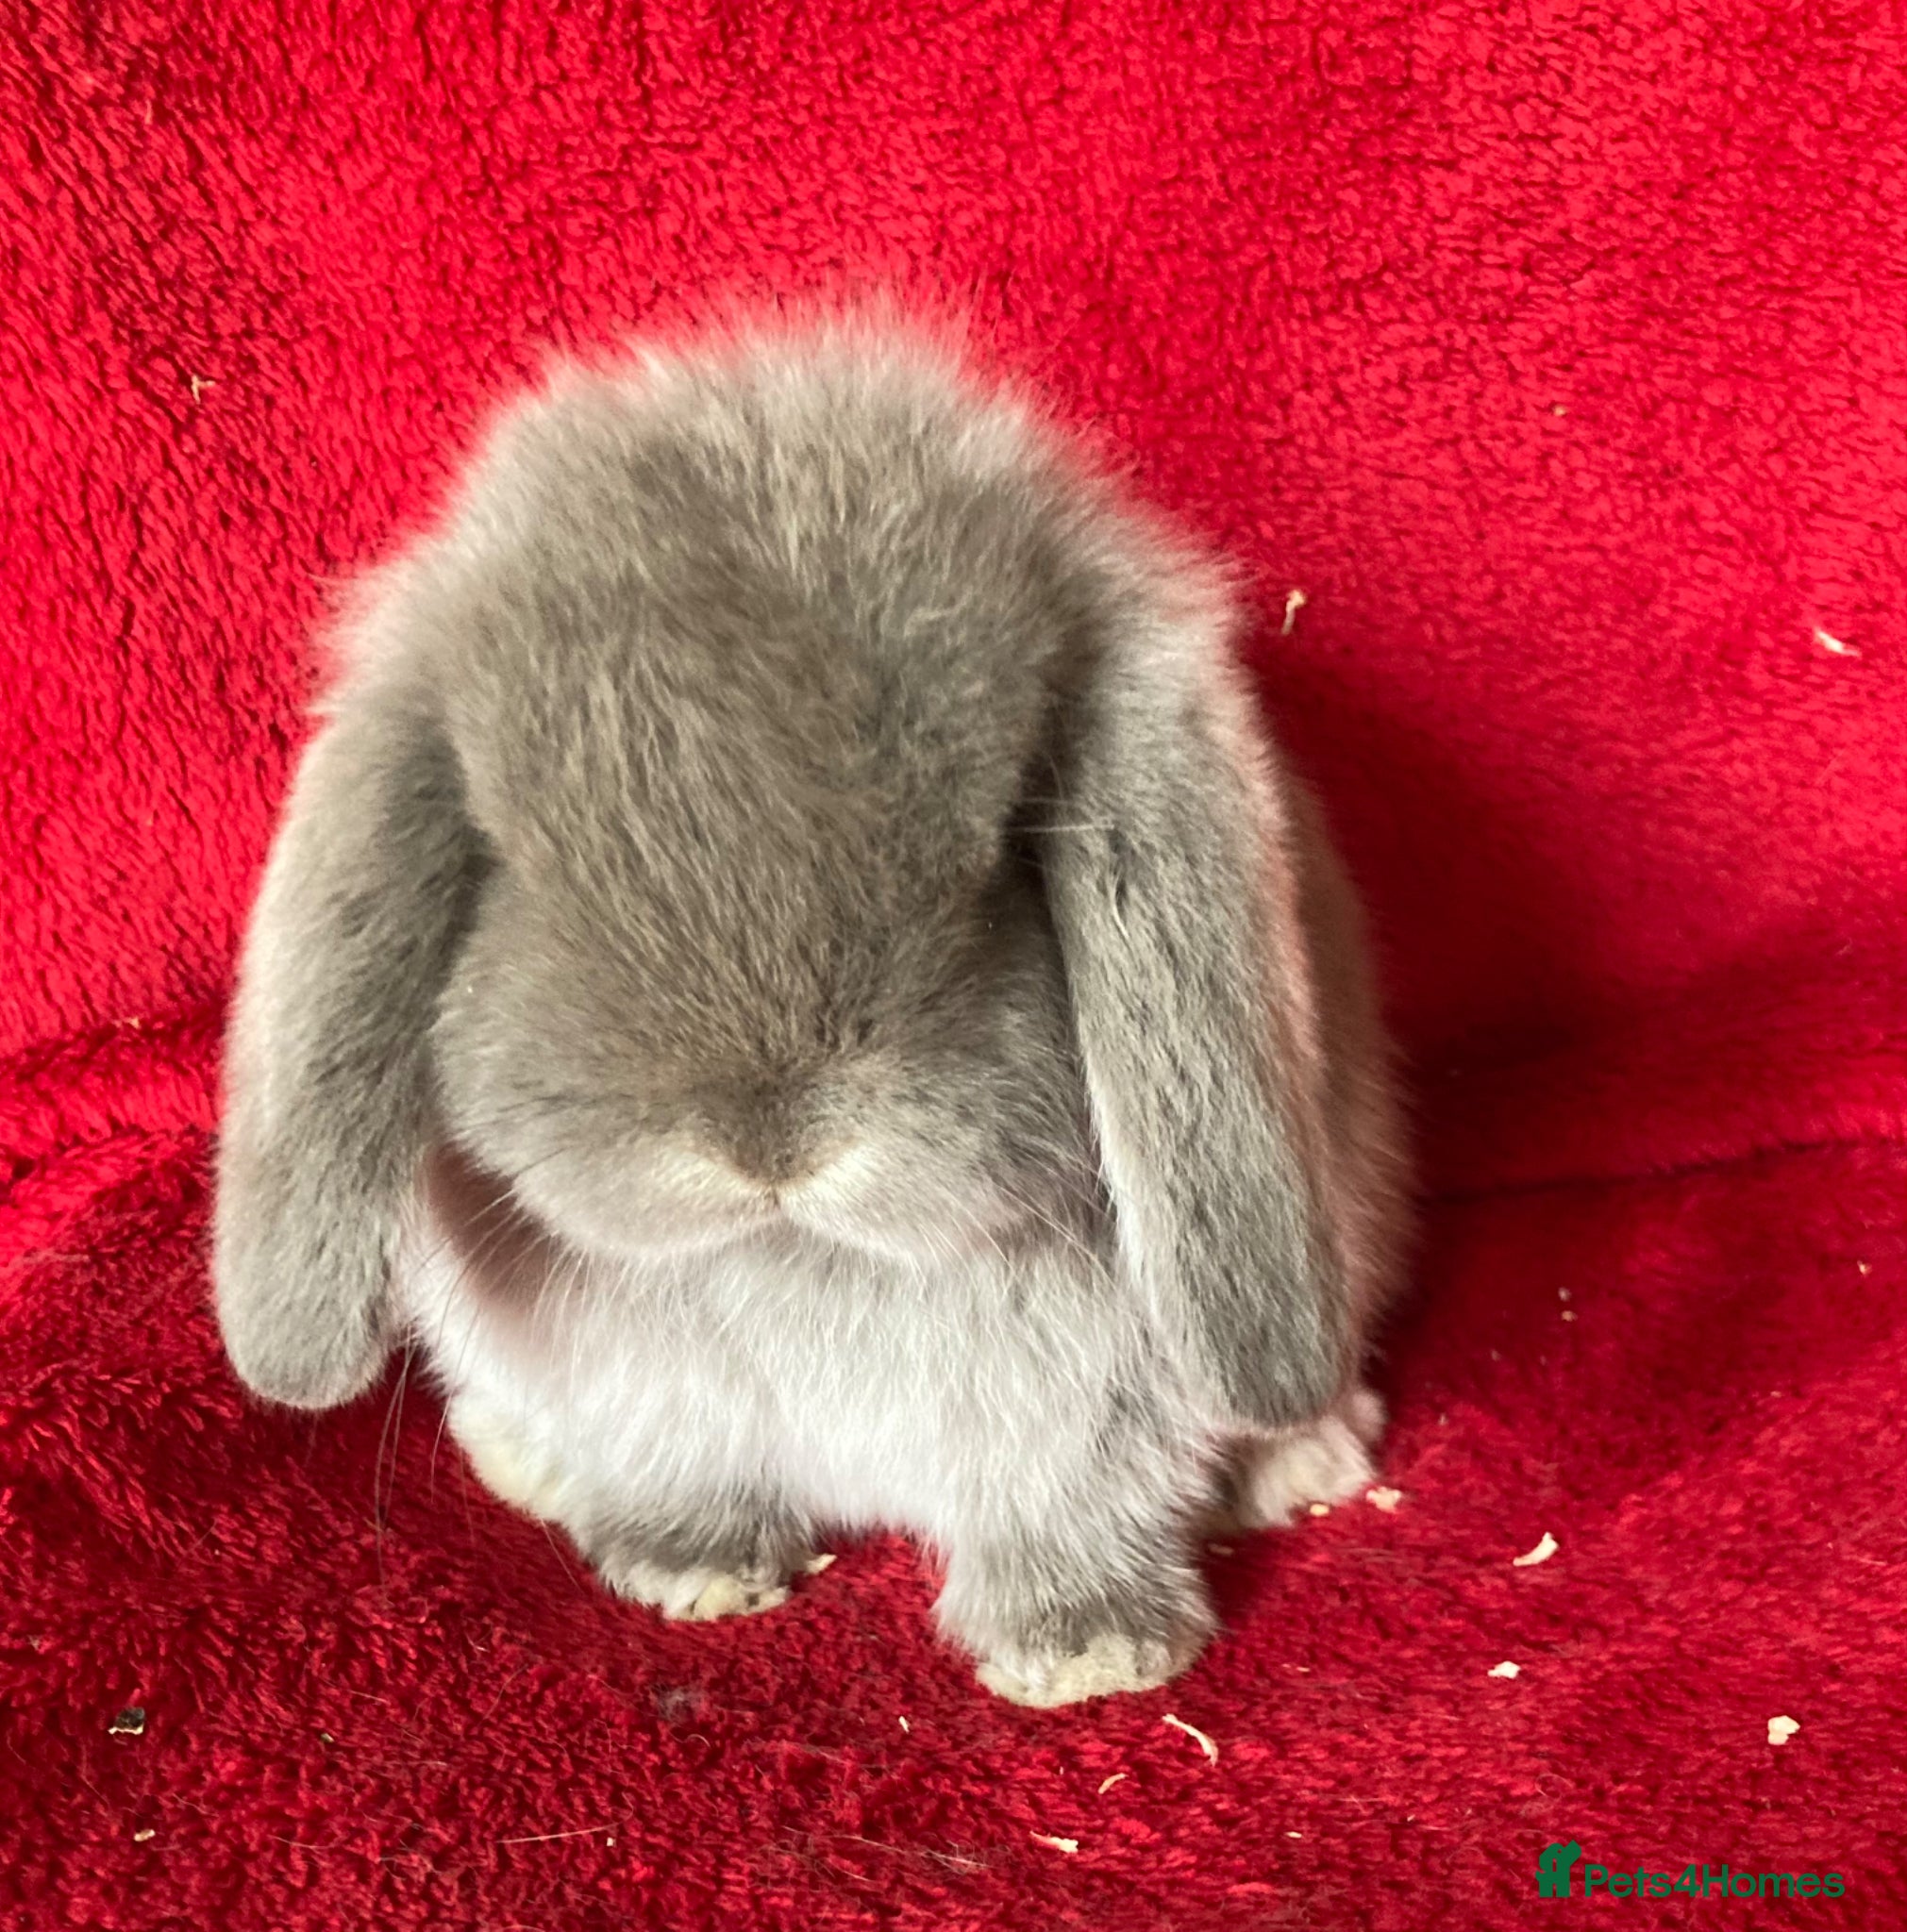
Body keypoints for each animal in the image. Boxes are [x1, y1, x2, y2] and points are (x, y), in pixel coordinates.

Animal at [212, 320, 1409, 1707]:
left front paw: (1087, 1646)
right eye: (500, 852)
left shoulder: (1092, 1416)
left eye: (1007, 840)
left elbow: (1067, 1500)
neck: (796, 1253)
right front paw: (691, 1570)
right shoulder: (653, 1396)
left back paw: (1304, 1460)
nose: (766, 1143)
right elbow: (683, 1478)